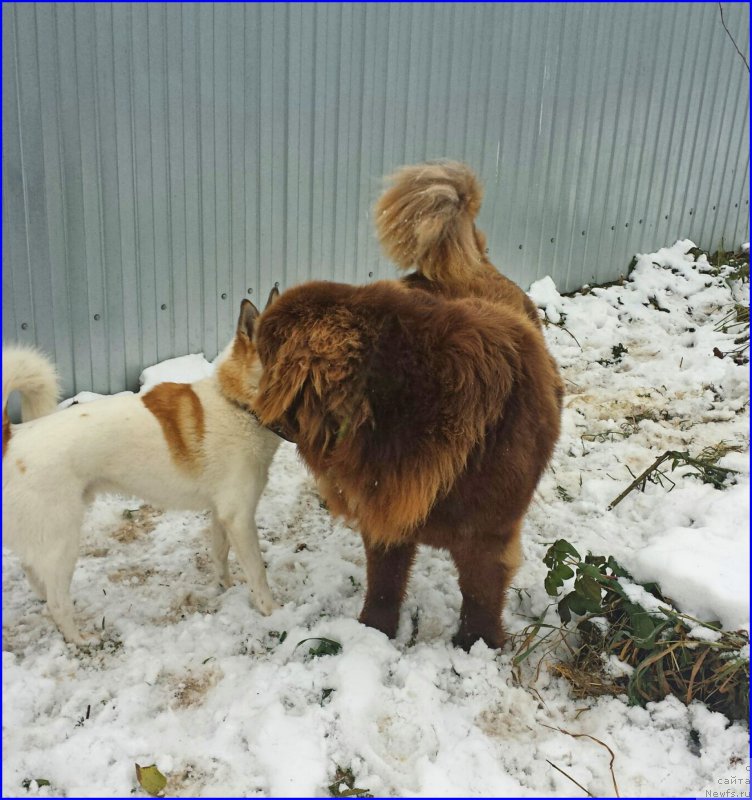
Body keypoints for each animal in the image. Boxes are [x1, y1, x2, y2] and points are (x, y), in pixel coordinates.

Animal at [2, 294, 282, 644]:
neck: (237, 405)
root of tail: (13, 435)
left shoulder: (223, 514)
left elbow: (220, 556)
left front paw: (225, 588)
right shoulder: (240, 517)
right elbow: (258, 572)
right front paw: (272, 612)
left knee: (32, 570)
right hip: (63, 540)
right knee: (56, 601)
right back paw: (80, 639)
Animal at [256, 162, 560, 648]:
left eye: (266, 360)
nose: (256, 408)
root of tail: (478, 261)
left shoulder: (487, 535)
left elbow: (480, 593)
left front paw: (476, 645)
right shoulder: (385, 512)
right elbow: (385, 578)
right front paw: (372, 631)